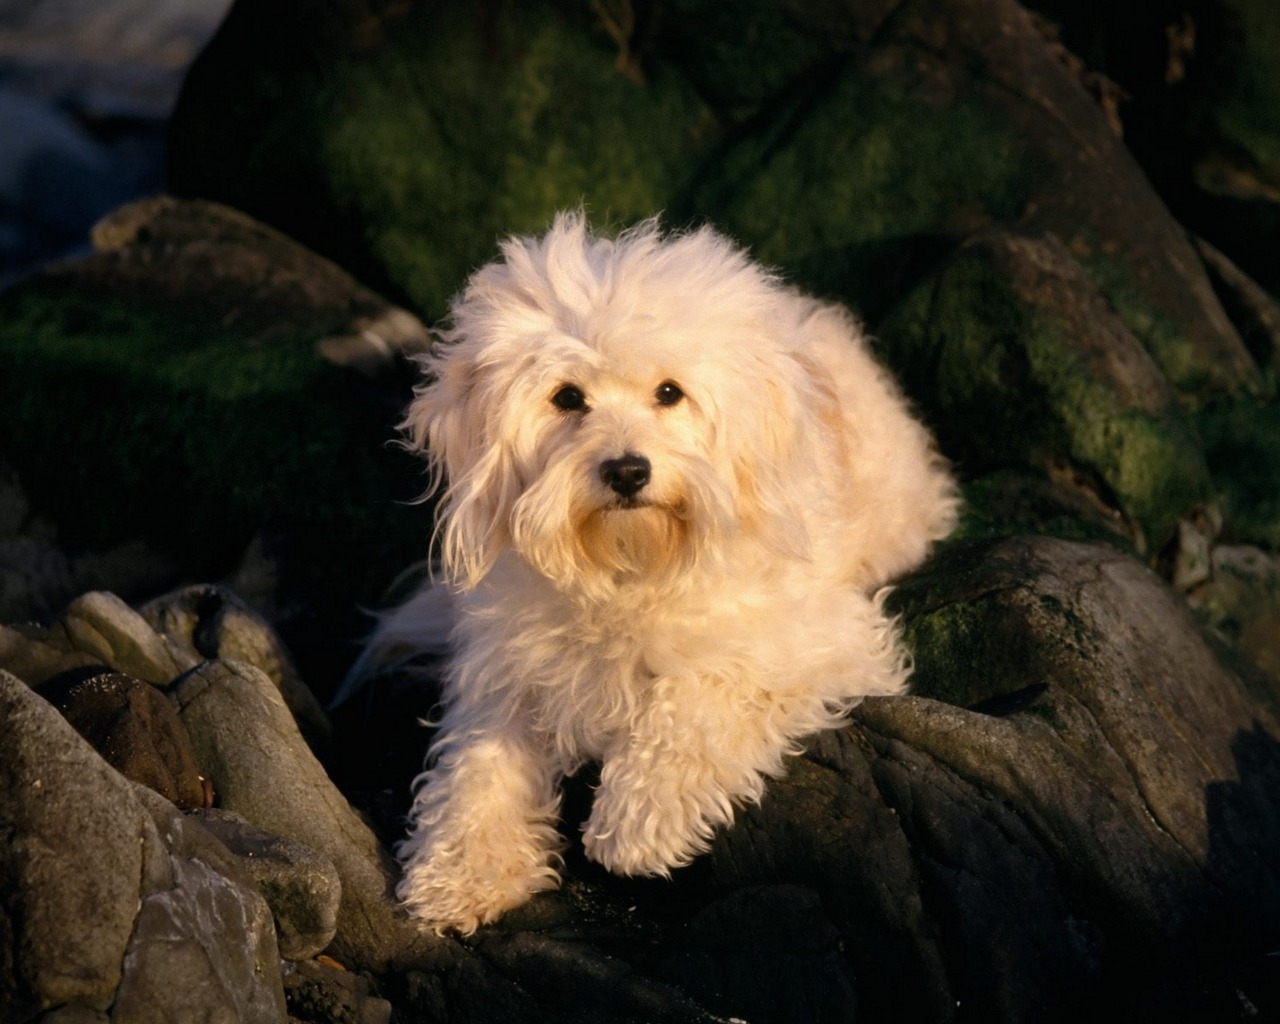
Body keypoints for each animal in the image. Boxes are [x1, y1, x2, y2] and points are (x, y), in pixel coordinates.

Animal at [363, 212, 962, 931]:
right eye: (568, 398)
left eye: (670, 393)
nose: (626, 470)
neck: (628, 568)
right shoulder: (509, 671)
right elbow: (479, 768)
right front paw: (463, 867)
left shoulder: (811, 638)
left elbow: (696, 702)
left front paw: (637, 822)